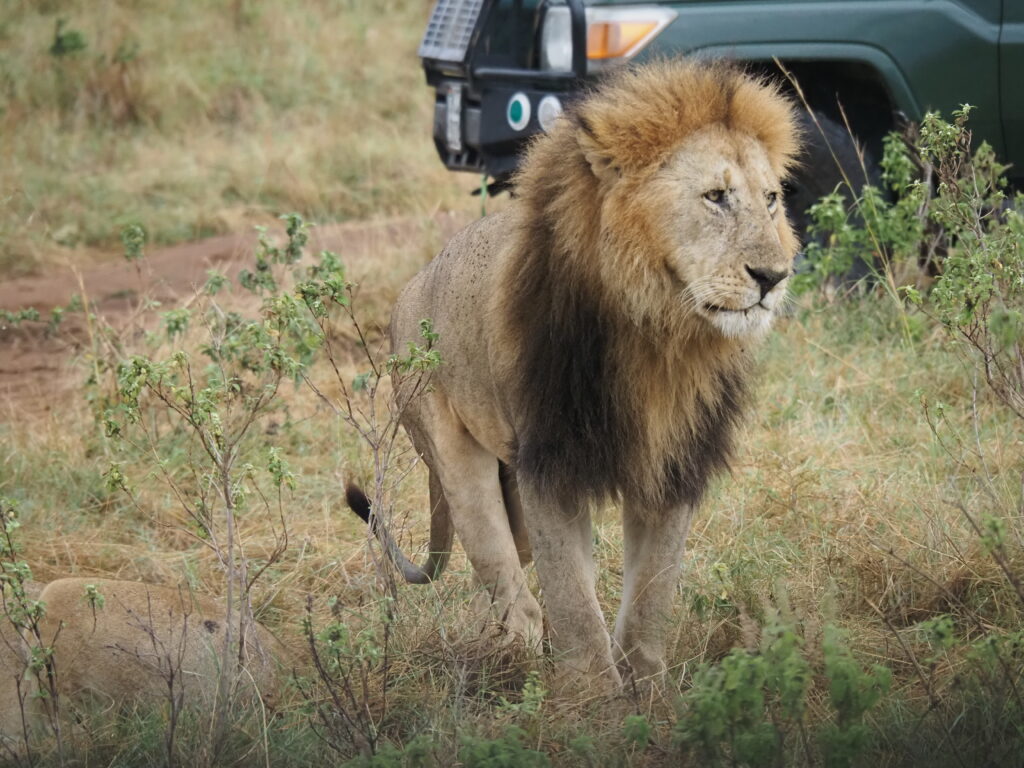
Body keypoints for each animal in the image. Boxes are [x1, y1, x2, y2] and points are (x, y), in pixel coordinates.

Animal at [348, 60, 802, 692]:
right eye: (715, 196)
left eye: (772, 199)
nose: (774, 276)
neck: (659, 332)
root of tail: (412, 285)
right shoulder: (552, 463)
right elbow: (573, 601)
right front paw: (595, 697)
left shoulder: (673, 462)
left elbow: (652, 594)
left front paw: (650, 691)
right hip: (455, 454)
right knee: (514, 592)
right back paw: (512, 668)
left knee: (505, 580)